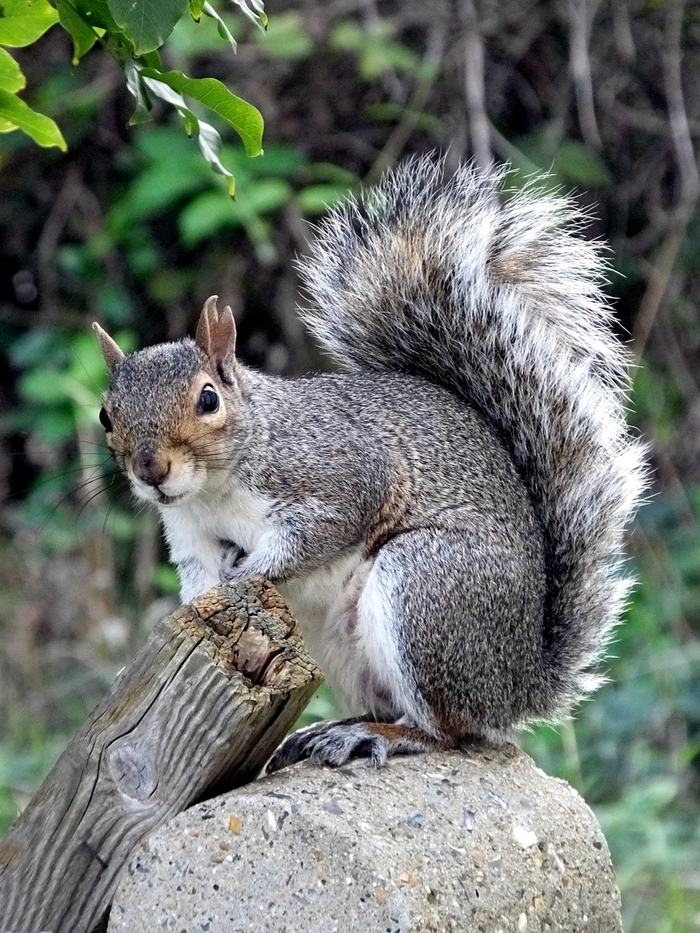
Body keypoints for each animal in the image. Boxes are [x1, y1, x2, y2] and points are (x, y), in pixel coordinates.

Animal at [93, 156, 646, 770]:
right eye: (106, 414)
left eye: (208, 400)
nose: (151, 471)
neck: (215, 489)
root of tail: (519, 683)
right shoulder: (191, 540)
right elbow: (198, 587)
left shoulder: (344, 476)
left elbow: (315, 535)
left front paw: (251, 571)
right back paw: (335, 728)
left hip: (426, 586)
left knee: (449, 731)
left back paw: (384, 735)